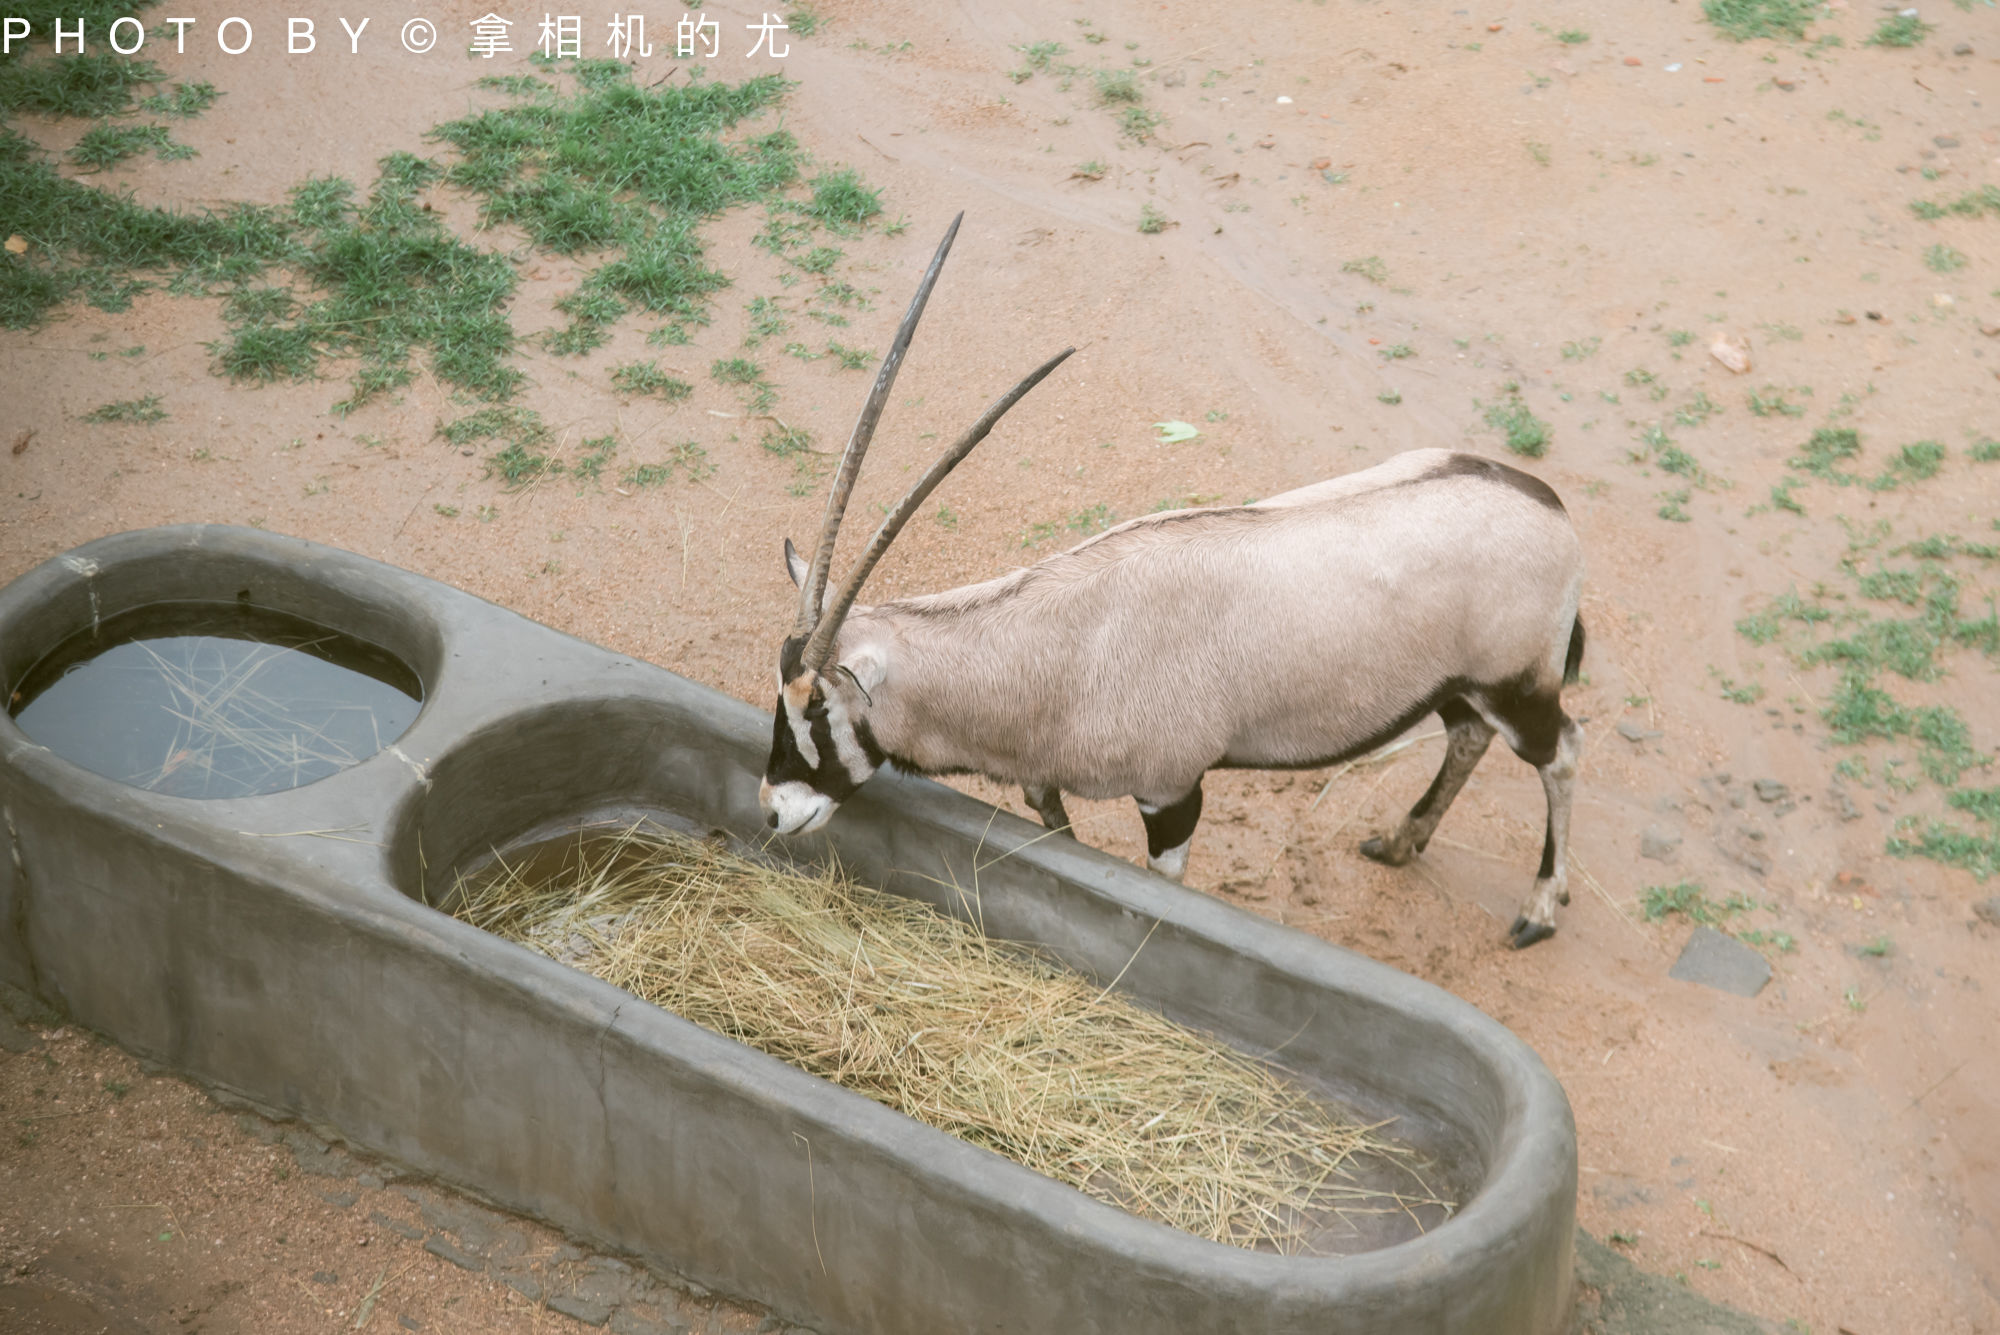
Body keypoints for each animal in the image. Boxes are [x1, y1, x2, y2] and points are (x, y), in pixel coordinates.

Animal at [756, 213, 1584, 947]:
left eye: (818, 713)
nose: (771, 810)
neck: (1057, 648)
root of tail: (1549, 504)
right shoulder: (1043, 782)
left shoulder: (1173, 794)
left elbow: (1163, 887)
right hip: (1461, 686)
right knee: (1470, 735)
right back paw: (1401, 842)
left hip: (1518, 685)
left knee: (1562, 750)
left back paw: (1539, 910)